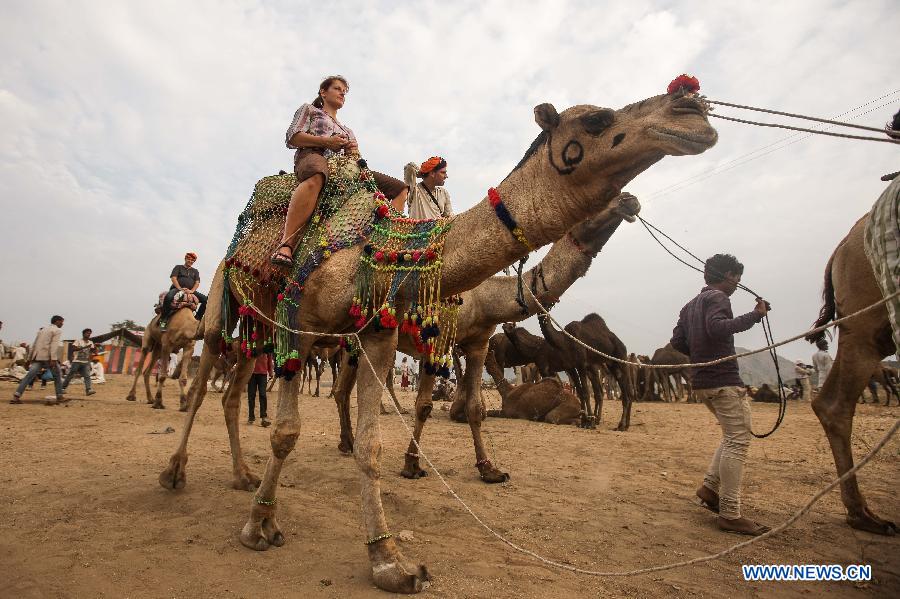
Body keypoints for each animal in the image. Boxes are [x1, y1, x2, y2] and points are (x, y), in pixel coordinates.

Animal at [332, 195, 640, 480]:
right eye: (596, 207)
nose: (630, 200)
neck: (483, 299)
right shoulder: (437, 339)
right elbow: (424, 406)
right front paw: (412, 465)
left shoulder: (478, 344)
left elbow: (475, 407)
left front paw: (489, 469)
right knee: (343, 388)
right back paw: (350, 442)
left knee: (342, 389)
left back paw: (347, 442)